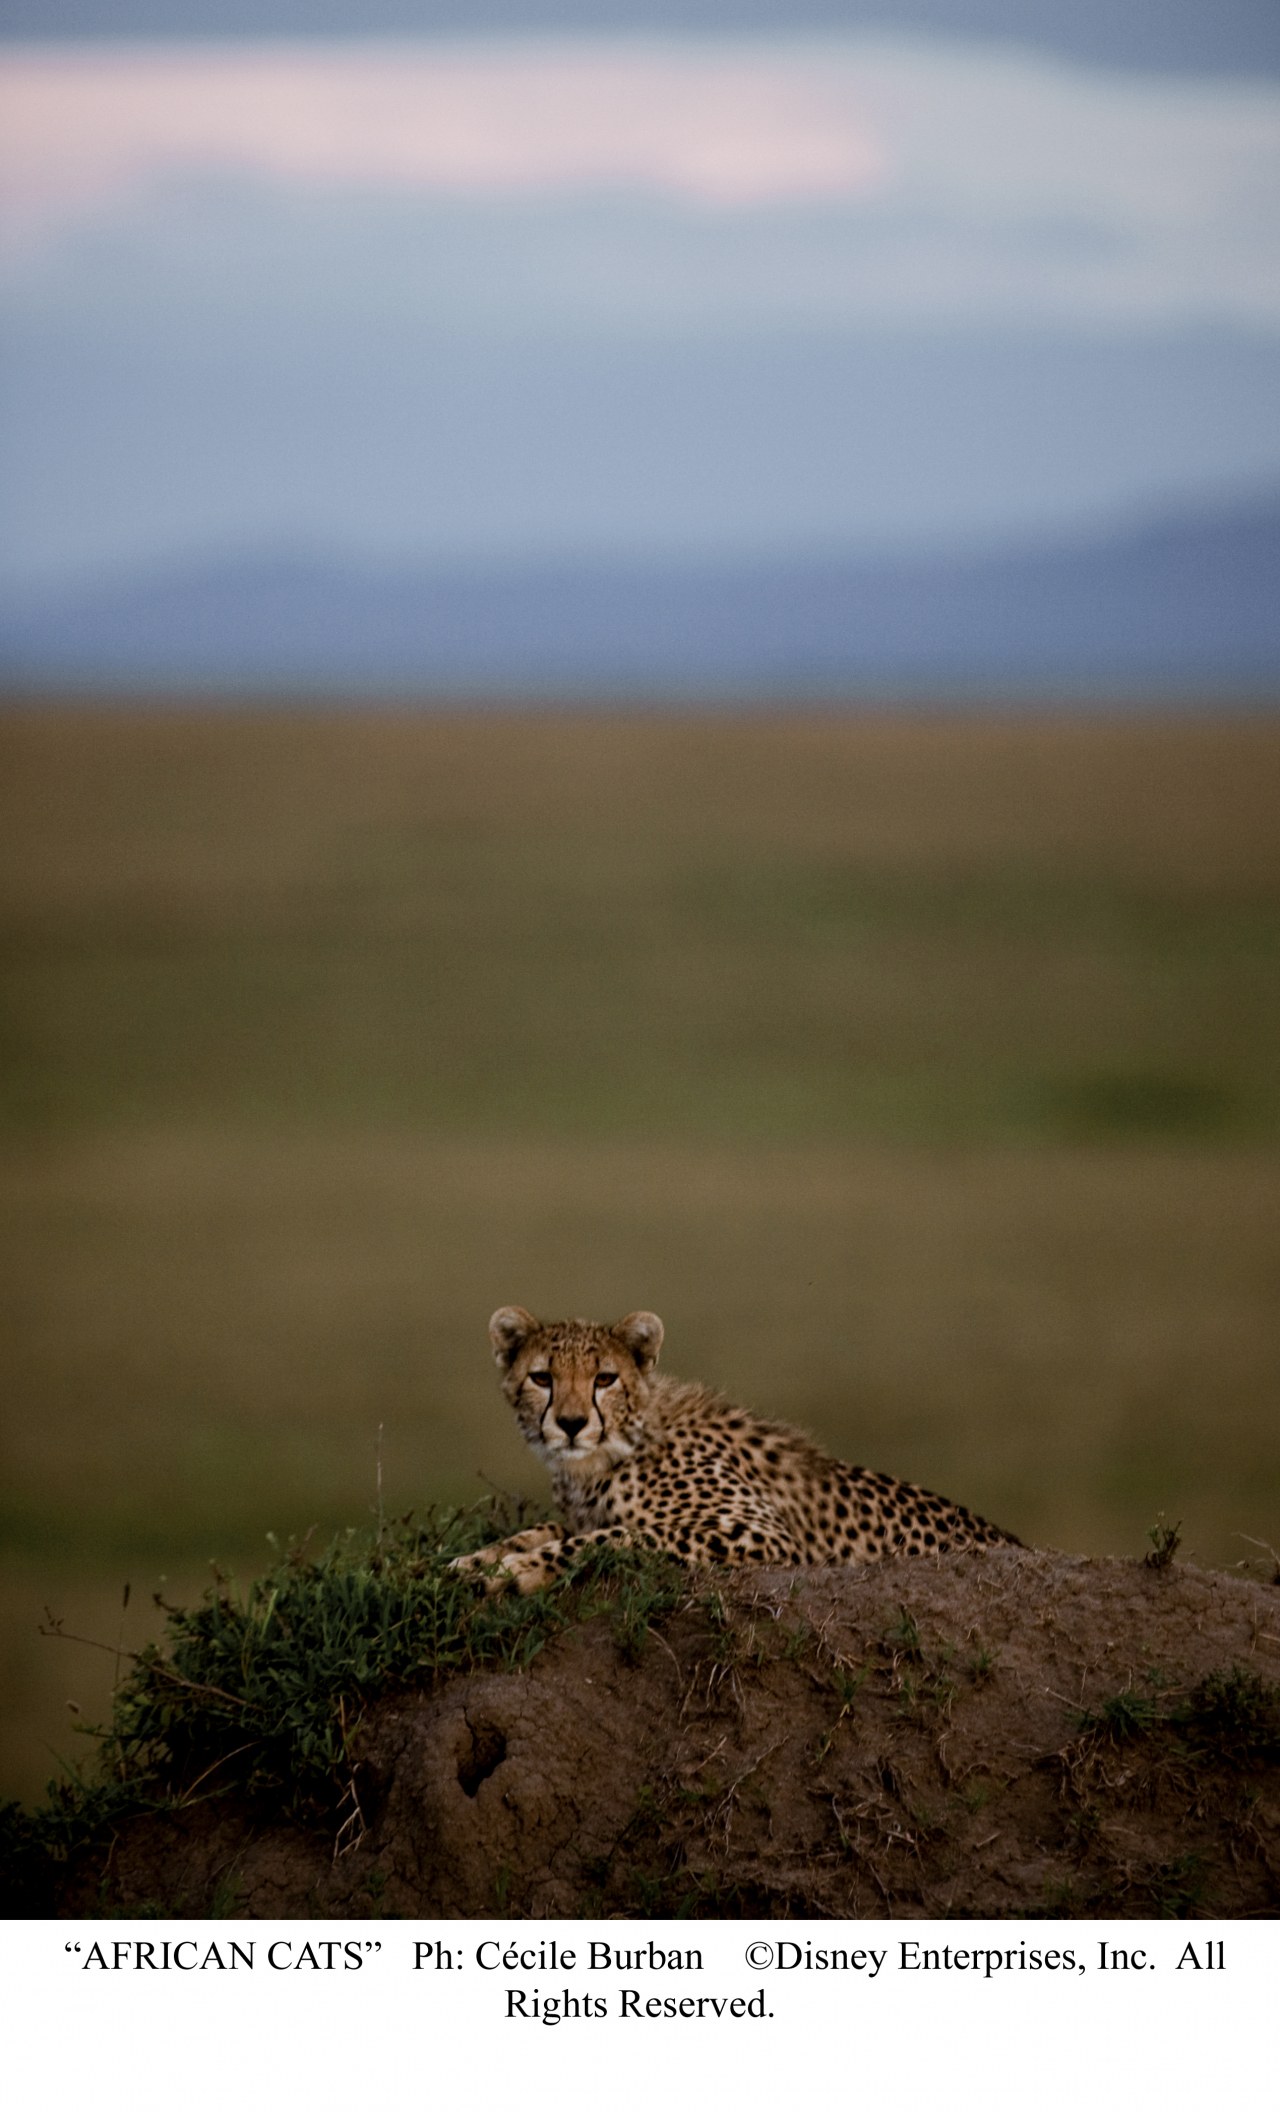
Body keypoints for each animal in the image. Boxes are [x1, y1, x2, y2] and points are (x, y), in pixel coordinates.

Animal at [454, 1309, 1022, 1588]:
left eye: (605, 1379)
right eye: (542, 1378)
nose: (571, 1424)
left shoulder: (760, 1534)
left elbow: (618, 1537)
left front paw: (518, 1570)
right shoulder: (579, 1513)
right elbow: (547, 1529)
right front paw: (478, 1560)